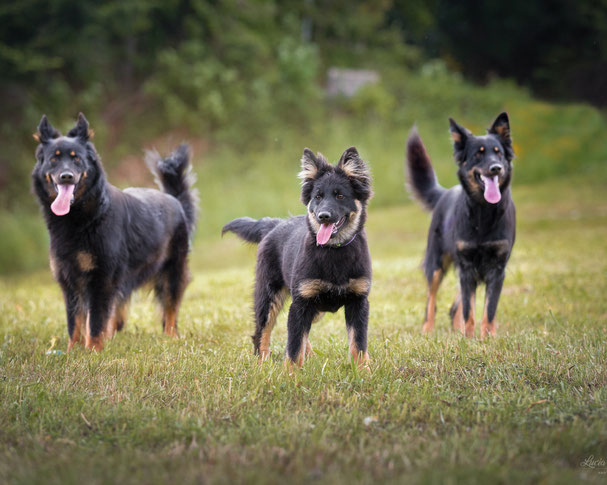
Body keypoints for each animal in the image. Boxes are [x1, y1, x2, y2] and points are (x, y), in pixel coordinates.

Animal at [32, 112, 198, 352]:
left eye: (76, 159)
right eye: (53, 159)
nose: (66, 176)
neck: (85, 217)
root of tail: (174, 199)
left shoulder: (101, 280)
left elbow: (95, 321)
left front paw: (93, 351)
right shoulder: (71, 282)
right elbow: (75, 322)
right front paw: (73, 351)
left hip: (172, 275)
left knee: (170, 311)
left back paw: (170, 338)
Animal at [223, 147, 372, 366]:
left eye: (340, 196)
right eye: (318, 197)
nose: (323, 216)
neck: (333, 251)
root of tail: (274, 224)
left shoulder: (358, 301)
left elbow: (358, 344)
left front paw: (363, 370)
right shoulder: (301, 302)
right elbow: (293, 347)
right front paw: (290, 372)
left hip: (313, 306)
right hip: (269, 295)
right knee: (262, 331)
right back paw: (262, 362)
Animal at [406, 112, 516, 338]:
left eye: (498, 153)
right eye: (478, 154)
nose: (496, 168)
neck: (484, 212)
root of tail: (445, 192)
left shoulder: (496, 269)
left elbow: (488, 310)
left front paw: (487, 338)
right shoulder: (466, 266)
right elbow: (469, 311)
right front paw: (470, 338)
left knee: (454, 307)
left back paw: (458, 331)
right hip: (437, 264)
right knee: (432, 301)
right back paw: (428, 330)